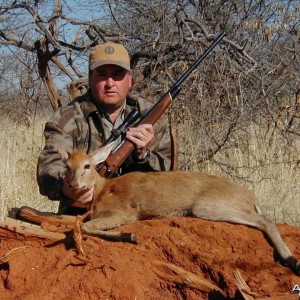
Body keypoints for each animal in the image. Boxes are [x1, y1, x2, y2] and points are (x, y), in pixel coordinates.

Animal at [57, 144, 298, 276]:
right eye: (67, 167)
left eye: (87, 165)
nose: (76, 185)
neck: (104, 188)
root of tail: (250, 195)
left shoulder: (125, 213)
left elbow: (85, 227)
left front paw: (131, 235)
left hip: (207, 208)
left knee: (266, 219)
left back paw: (292, 260)